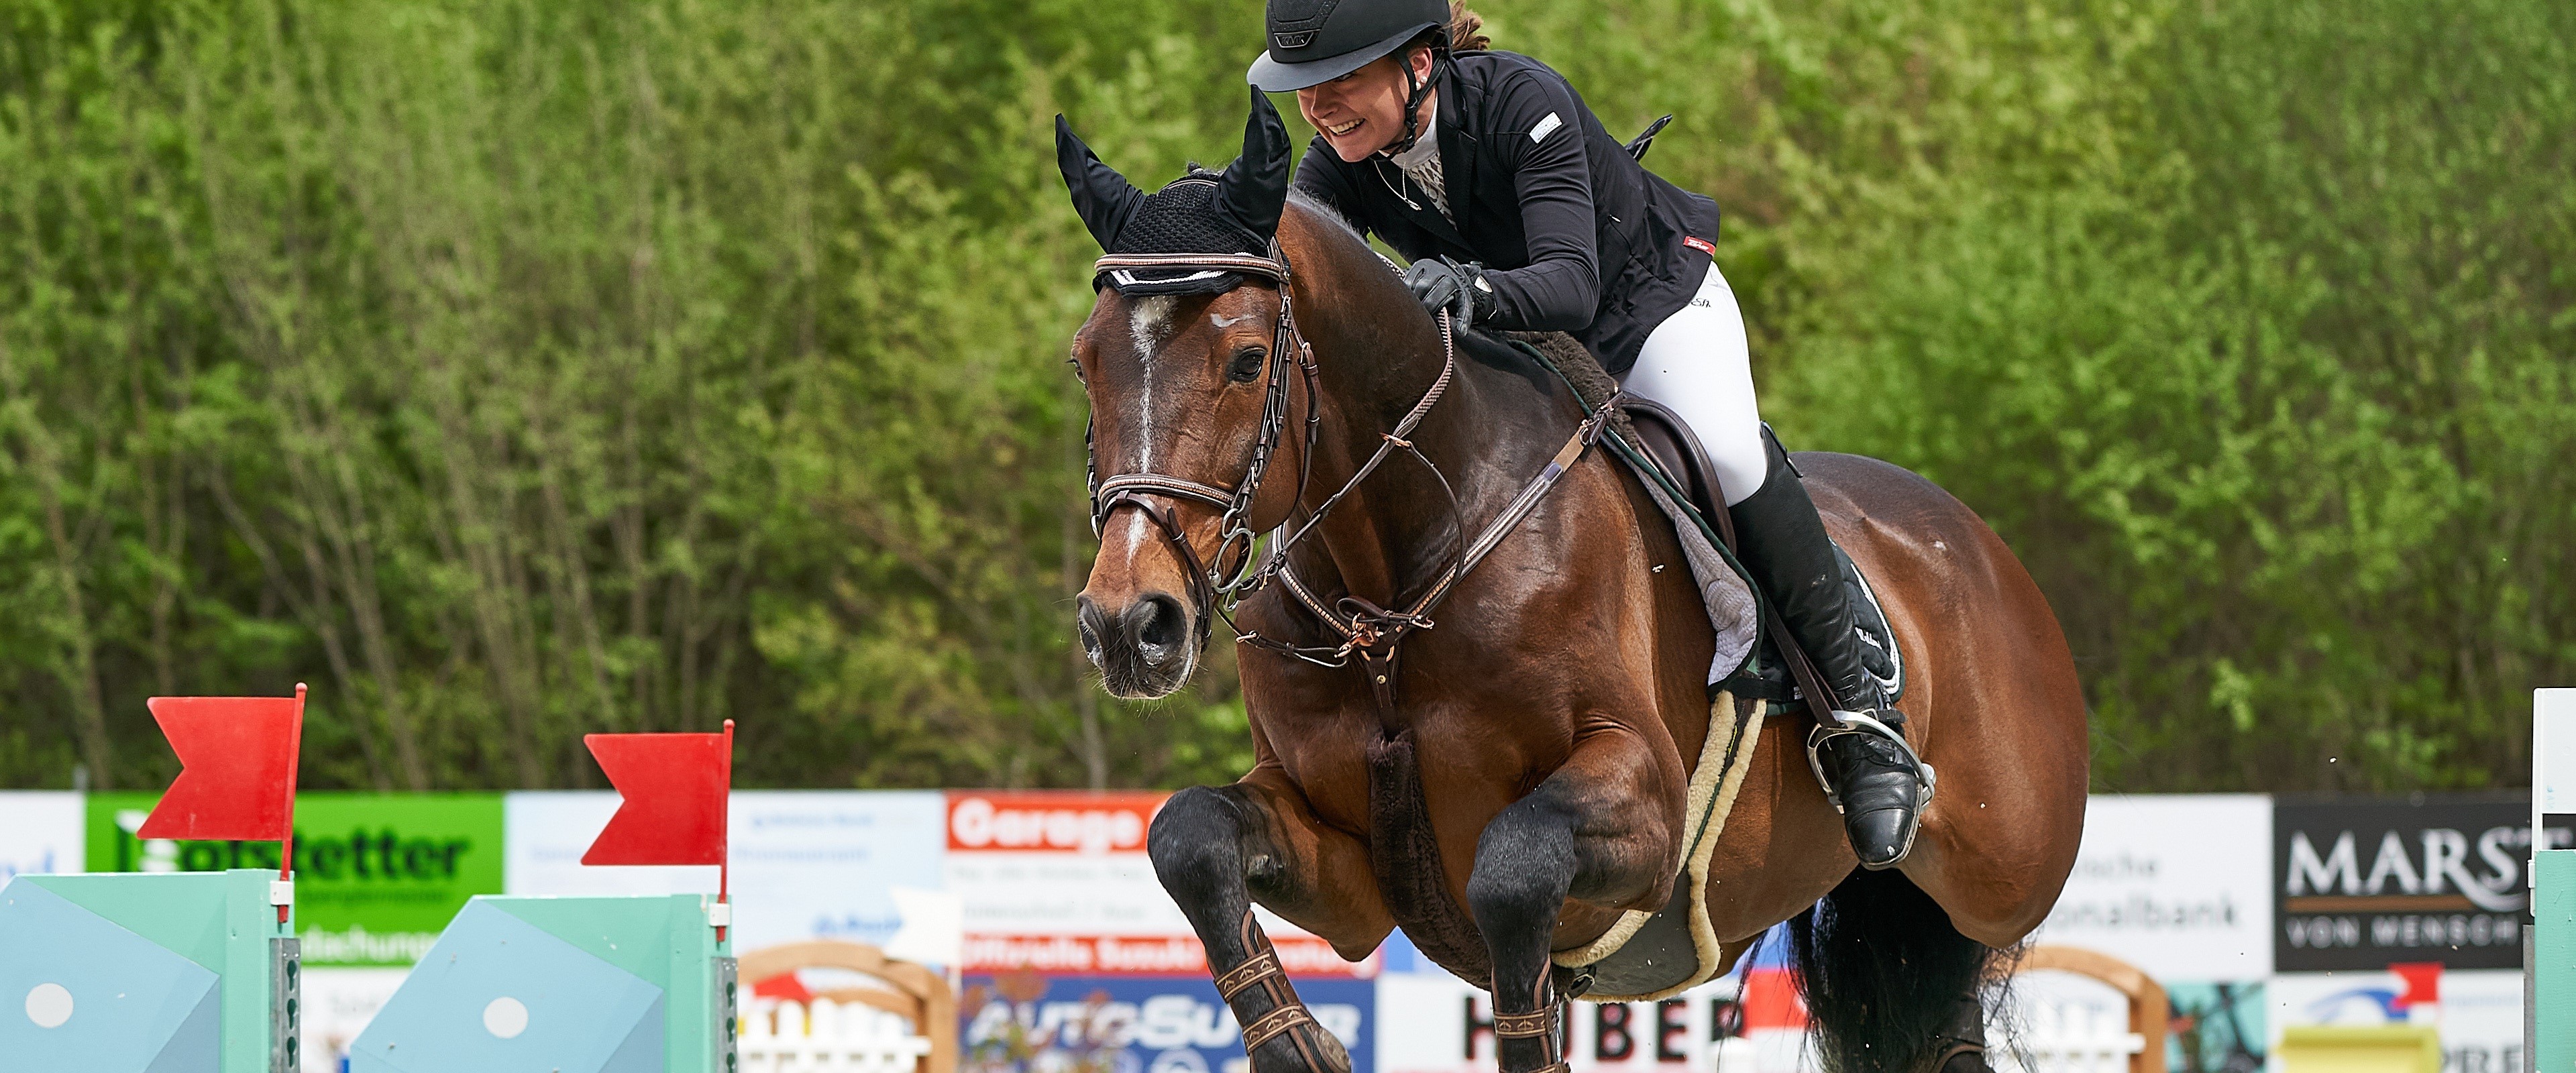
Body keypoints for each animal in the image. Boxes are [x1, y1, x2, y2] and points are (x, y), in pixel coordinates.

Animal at [1060, 91, 2087, 1073]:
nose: (1129, 626)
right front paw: (1298, 1046)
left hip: (1996, 875)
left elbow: (1514, 869)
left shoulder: (1649, 808)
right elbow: (1189, 835)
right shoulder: (1352, 872)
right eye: (1085, 360)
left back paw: (1880, 775)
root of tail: (1982, 549)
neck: (1394, 590)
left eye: (1246, 361)